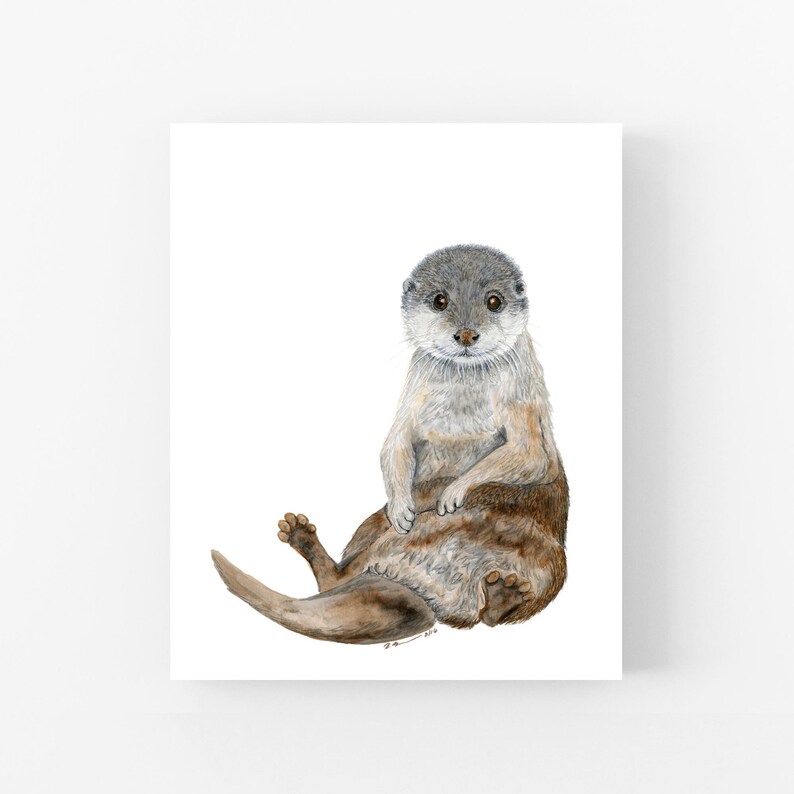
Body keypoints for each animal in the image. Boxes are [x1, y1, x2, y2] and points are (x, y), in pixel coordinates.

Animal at [211, 244, 568, 644]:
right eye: (440, 300)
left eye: (494, 301)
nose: (466, 333)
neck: (460, 401)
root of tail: (428, 594)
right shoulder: (413, 389)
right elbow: (396, 441)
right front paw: (401, 508)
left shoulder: (521, 394)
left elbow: (533, 454)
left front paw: (454, 492)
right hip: (371, 524)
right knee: (337, 577)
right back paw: (304, 535)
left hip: (553, 564)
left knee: (494, 615)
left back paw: (502, 595)